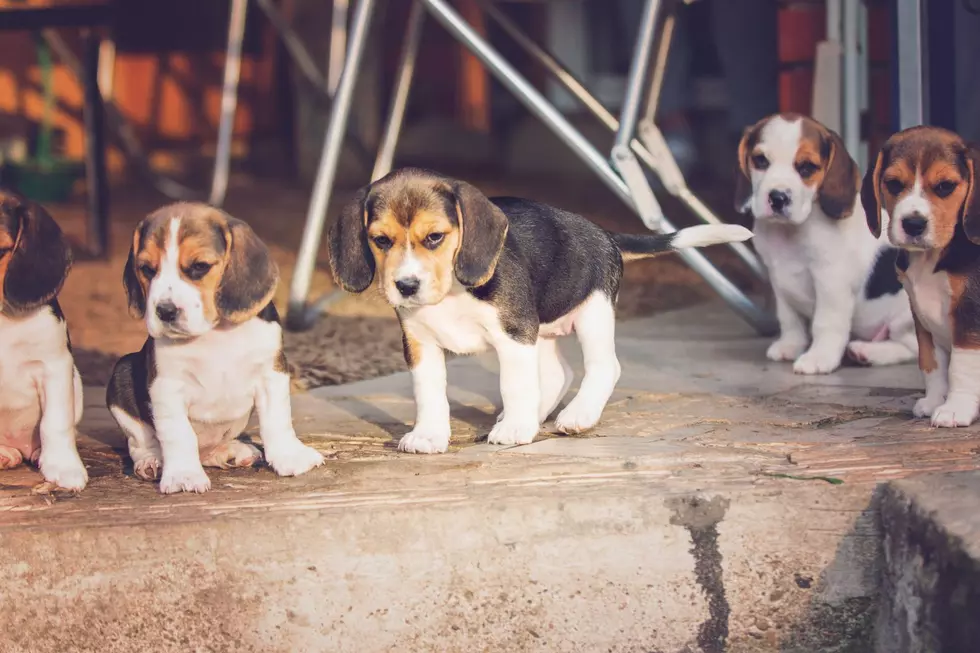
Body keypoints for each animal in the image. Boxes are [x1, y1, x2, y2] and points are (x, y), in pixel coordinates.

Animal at [106, 201, 324, 492]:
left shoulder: (271, 373)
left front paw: (291, 456)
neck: (214, 332)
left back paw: (229, 451)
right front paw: (184, 475)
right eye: (148, 269)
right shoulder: (167, 386)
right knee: (140, 443)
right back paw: (153, 462)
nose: (165, 311)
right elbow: (178, 434)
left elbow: (277, 420)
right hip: (121, 372)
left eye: (199, 266)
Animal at [328, 167, 752, 454]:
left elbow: (515, 385)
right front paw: (429, 434)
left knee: (603, 367)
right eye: (381, 240)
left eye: (434, 237)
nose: (405, 286)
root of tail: (604, 233)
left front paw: (516, 429)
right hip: (528, 336)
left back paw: (575, 416)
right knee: (558, 374)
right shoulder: (421, 344)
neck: (451, 292)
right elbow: (428, 392)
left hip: (591, 313)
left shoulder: (514, 333)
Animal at [736, 112, 920, 374]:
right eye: (760, 161)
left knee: (912, 350)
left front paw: (819, 358)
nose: (778, 198)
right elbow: (789, 319)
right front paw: (790, 345)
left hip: (906, 317)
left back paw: (867, 352)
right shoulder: (778, 280)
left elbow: (825, 324)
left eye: (806, 167)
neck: (793, 232)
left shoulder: (830, 283)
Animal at [860, 126, 980, 428]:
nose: (913, 224)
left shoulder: (969, 316)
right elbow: (932, 363)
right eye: (893, 184)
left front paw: (956, 408)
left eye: (945, 186)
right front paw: (936, 400)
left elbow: (961, 367)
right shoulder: (921, 315)